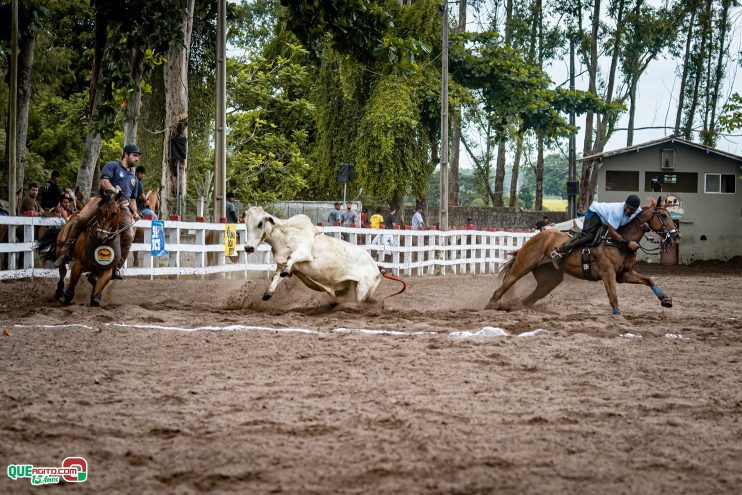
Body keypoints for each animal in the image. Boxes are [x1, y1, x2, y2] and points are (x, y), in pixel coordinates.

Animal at [244, 205, 384, 302]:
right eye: (246, 224)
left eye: (260, 223)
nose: (248, 247)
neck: (285, 235)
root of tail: (377, 268)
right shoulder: (281, 263)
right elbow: (276, 277)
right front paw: (268, 292)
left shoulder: (304, 252)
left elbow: (291, 257)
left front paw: (286, 271)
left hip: (363, 288)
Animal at [492, 197, 684, 316]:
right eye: (663, 215)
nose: (676, 235)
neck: (618, 243)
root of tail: (537, 236)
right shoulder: (608, 273)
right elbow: (613, 296)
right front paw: (618, 316)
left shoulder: (624, 274)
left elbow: (649, 280)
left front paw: (665, 299)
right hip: (522, 267)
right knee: (500, 290)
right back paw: (491, 307)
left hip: (550, 279)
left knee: (528, 300)